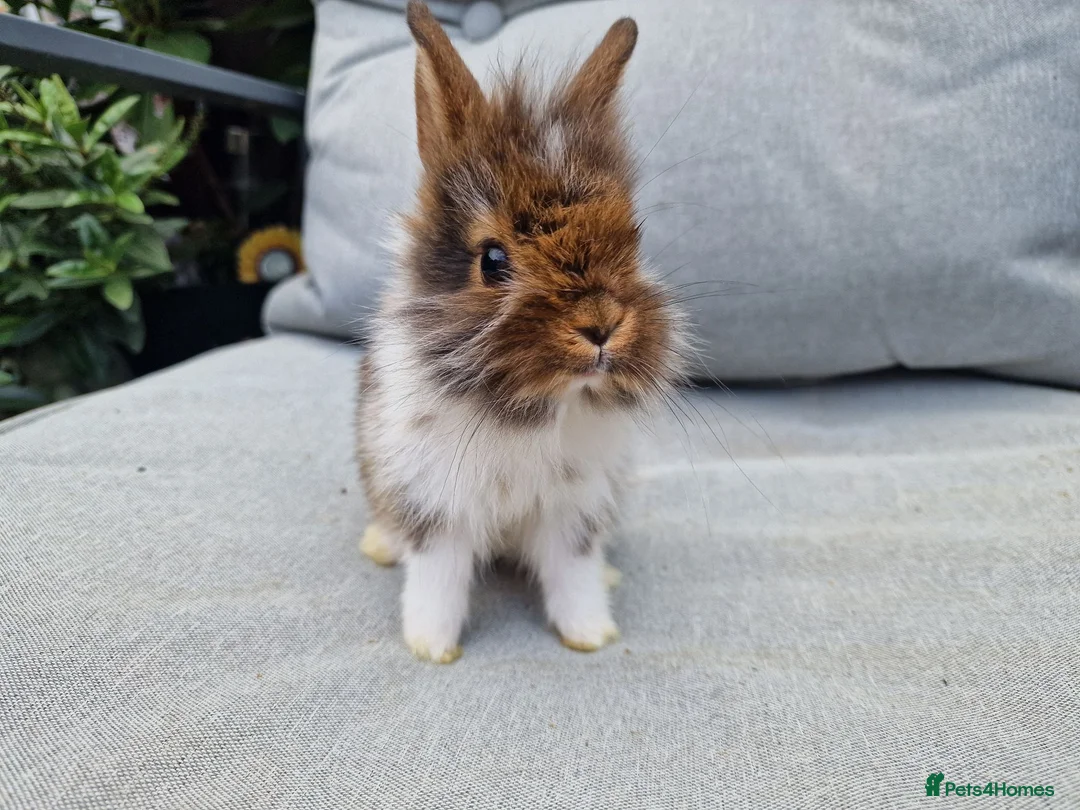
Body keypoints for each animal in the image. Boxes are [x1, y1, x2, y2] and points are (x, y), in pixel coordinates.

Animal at [356, 0, 687, 663]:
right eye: (493, 261)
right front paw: (431, 648)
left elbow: (575, 575)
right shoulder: (438, 506)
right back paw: (378, 545)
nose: (601, 326)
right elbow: (437, 579)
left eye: (631, 242)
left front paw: (591, 635)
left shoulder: (574, 512)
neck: (529, 406)